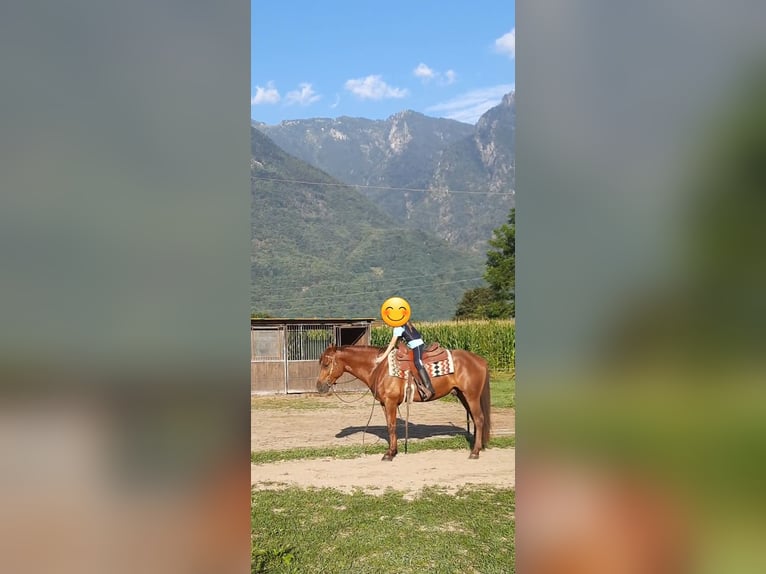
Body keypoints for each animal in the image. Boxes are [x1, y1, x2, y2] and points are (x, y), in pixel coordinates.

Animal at [316, 344, 492, 462]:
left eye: (326, 364)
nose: (319, 386)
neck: (378, 367)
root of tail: (480, 360)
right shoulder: (384, 404)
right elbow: (390, 425)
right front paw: (393, 451)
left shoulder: (390, 402)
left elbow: (392, 427)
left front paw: (389, 454)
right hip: (463, 396)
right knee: (476, 421)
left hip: (471, 396)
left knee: (479, 420)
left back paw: (475, 452)